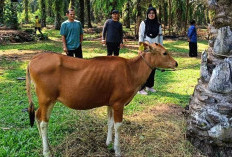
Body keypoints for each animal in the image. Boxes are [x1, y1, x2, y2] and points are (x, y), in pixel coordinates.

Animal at [26, 41, 178, 156]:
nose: (176, 63)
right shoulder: (119, 103)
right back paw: (46, 151)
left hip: (46, 101)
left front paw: (109, 142)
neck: (131, 70)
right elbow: (118, 126)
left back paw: (44, 143)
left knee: (38, 116)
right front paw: (117, 150)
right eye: (165, 53)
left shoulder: (110, 103)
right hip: (46, 99)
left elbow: (109, 122)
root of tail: (33, 59)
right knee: (44, 122)